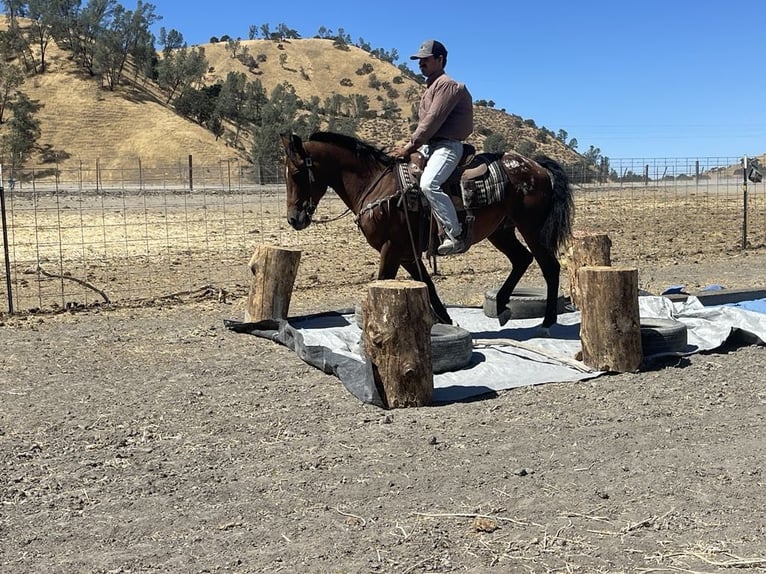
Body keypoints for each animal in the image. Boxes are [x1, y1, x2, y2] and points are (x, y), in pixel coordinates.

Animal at [280, 131, 574, 333]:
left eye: (296, 172)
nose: (294, 219)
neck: (376, 185)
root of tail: (537, 167)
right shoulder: (407, 253)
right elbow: (428, 285)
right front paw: (445, 321)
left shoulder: (391, 249)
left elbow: (383, 281)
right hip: (501, 231)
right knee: (522, 259)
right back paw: (502, 305)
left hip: (531, 228)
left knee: (549, 266)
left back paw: (547, 322)